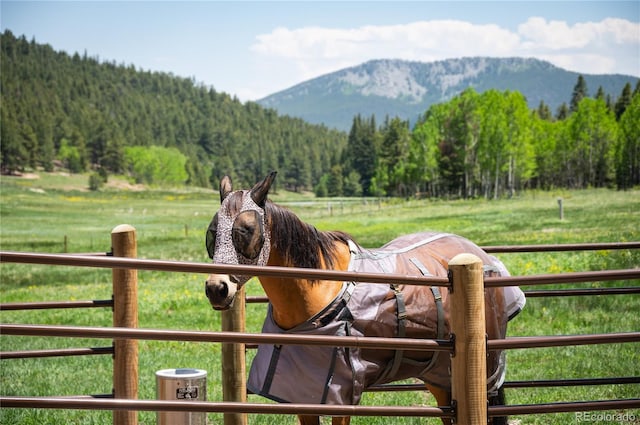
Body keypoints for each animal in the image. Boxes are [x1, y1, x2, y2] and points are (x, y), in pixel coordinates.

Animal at [205, 172, 524, 424]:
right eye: (212, 234)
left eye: (246, 230)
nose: (216, 288)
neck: (320, 289)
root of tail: (479, 256)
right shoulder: (300, 395)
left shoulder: (340, 396)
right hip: (440, 378)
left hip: (484, 373)